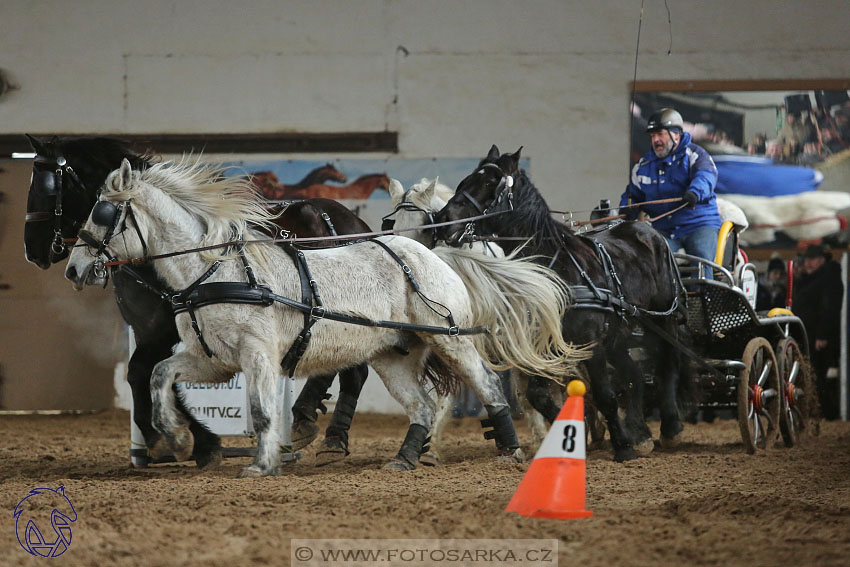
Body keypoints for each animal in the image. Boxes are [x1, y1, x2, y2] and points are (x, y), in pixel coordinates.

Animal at [24, 135, 370, 468]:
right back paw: (313, 423)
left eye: (45, 186)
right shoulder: (152, 332)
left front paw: (181, 440)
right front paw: (187, 440)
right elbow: (150, 376)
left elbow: (139, 372)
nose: (32, 251)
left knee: (353, 370)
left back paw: (327, 434)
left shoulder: (164, 332)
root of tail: (355, 222)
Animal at [434, 146, 684, 462]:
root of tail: (644, 228)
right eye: (466, 179)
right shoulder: (544, 345)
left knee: (669, 362)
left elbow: (604, 396)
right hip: (616, 335)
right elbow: (539, 396)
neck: (556, 270)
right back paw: (641, 434)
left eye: (490, 182)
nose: (442, 217)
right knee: (634, 376)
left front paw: (623, 448)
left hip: (662, 317)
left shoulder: (589, 342)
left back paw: (670, 428)